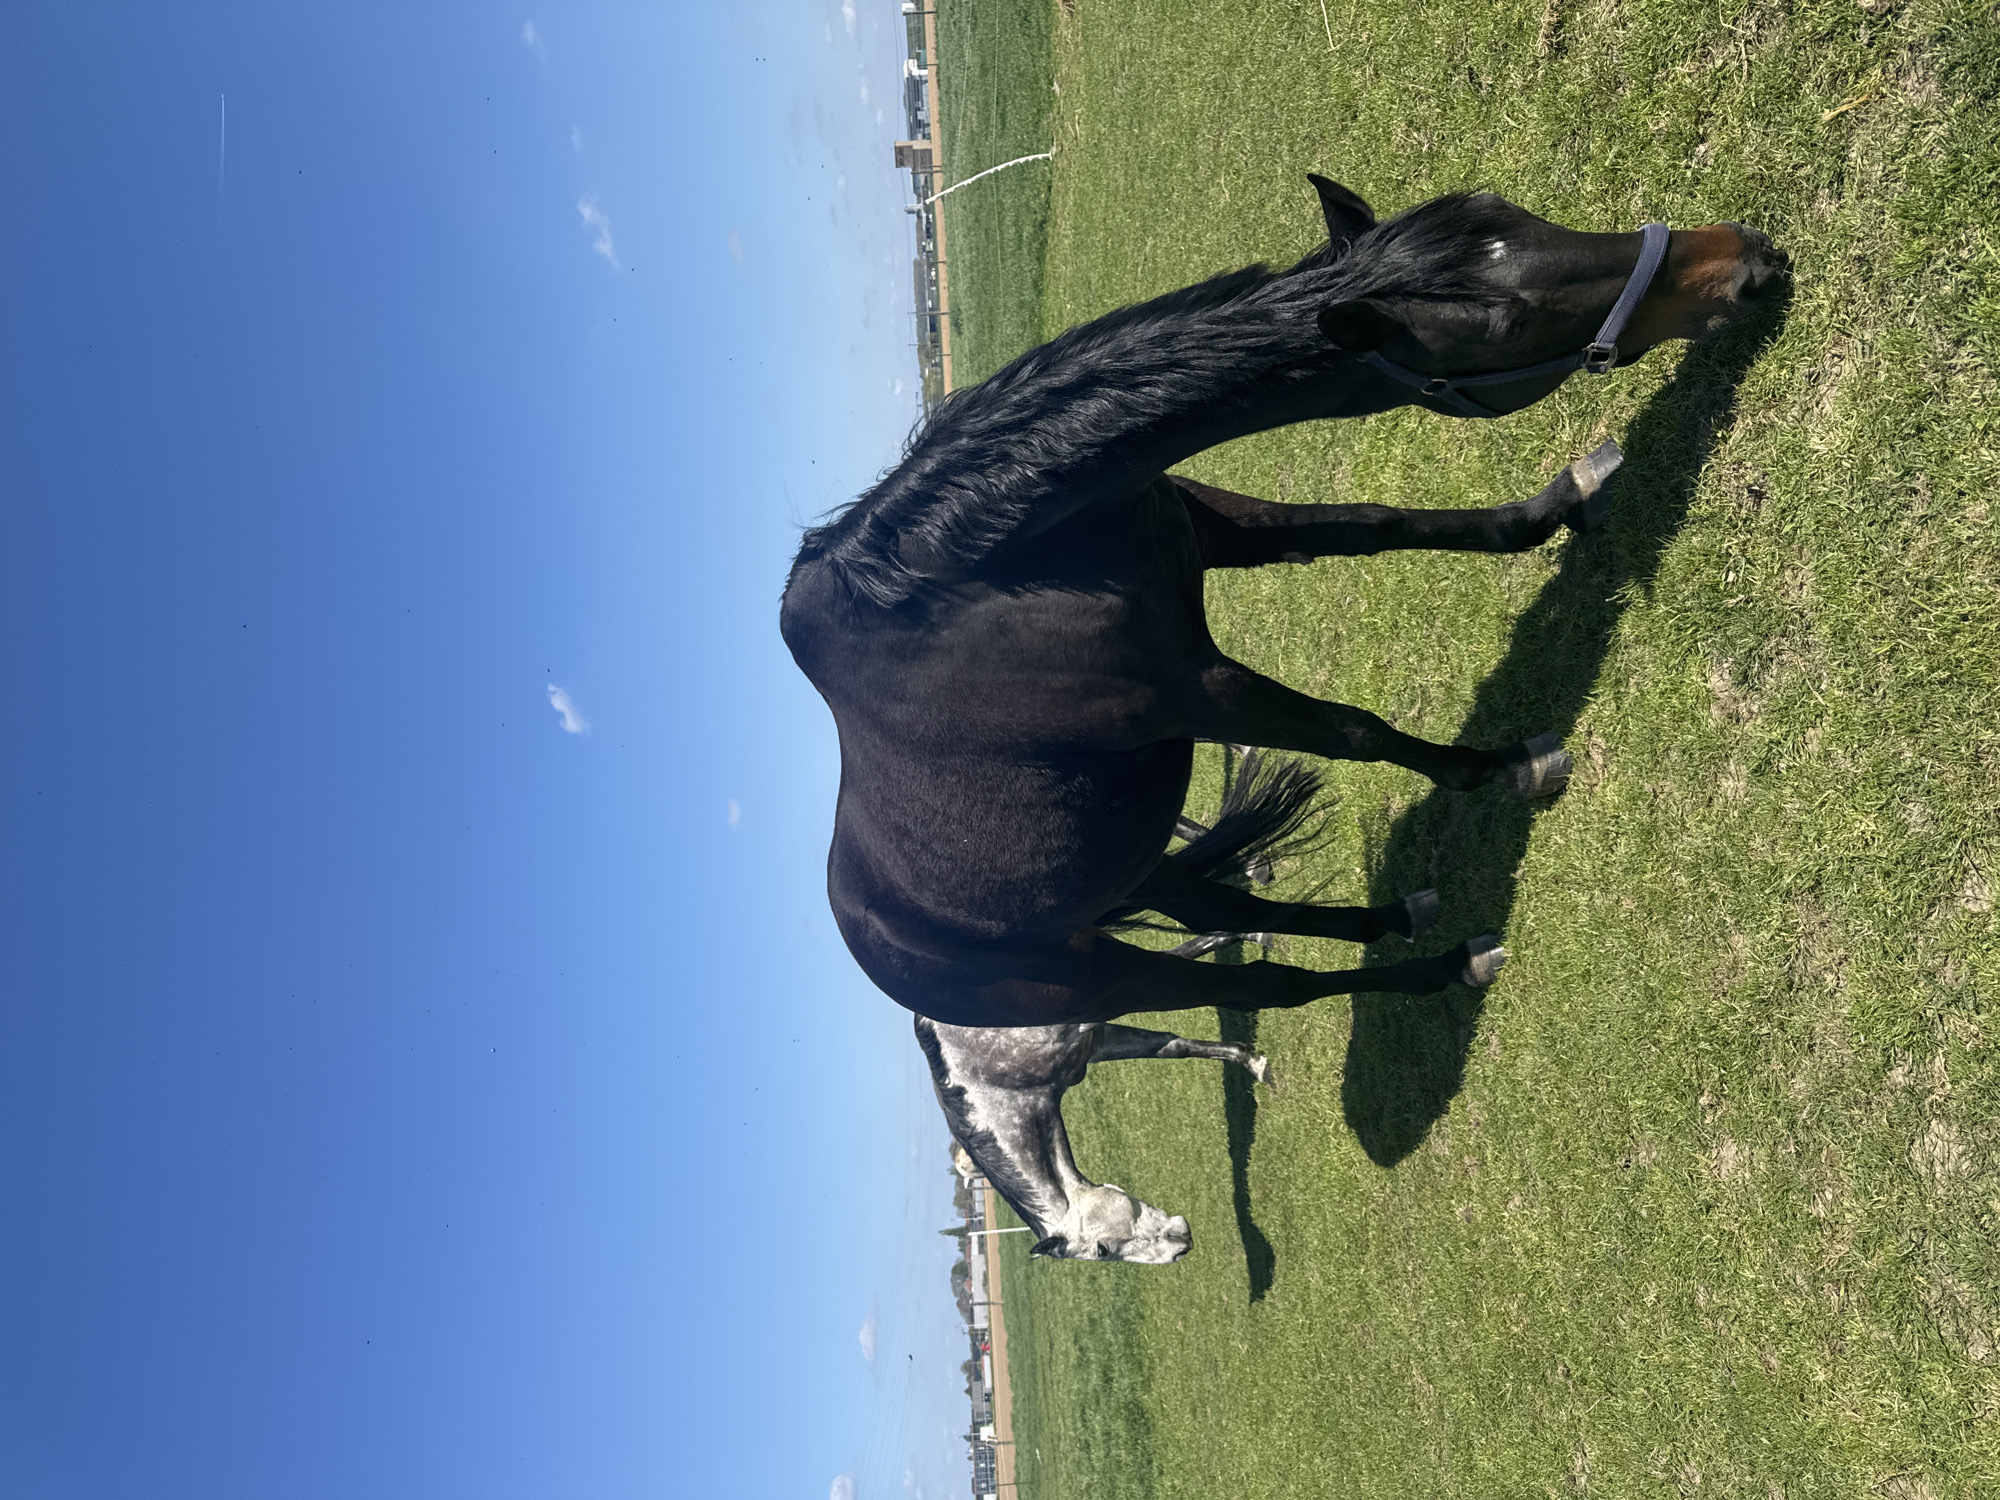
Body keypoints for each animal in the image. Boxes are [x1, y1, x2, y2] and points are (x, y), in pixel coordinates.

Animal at [782, 176, 1786, 1040]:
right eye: (1507, 323)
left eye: (1513, 213)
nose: (1747, 259)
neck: (985, 572)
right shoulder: (1198, 691)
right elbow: (1355, 731)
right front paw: (1500, 767)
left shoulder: (1207, 527)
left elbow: (1377, 526)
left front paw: (1560, 504)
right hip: (1104, 977)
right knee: (1275, 984)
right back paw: (1445, 966)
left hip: (1141, 873)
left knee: (1233, 904)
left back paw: (1392, 918)